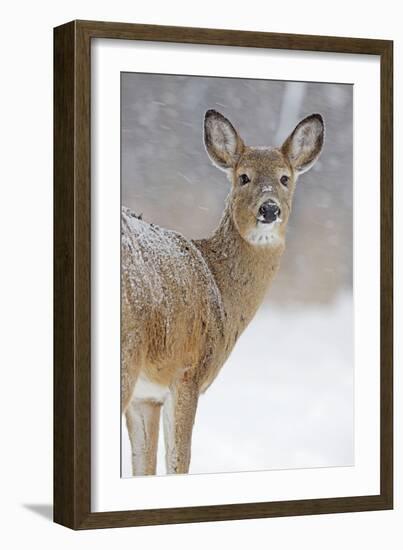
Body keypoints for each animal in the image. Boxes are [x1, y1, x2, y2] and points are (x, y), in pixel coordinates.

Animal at [120, 110, 326, 476]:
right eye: (243, 177)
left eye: (285, 178)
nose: (269, 209)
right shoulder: (188, 371)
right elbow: (178, 462)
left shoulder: (147, 396)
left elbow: (143, 467)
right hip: (126, 353)